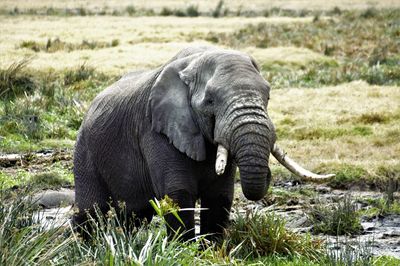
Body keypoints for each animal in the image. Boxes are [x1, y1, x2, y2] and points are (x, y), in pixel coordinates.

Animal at [72, 46, 334, 241]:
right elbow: (177, 194)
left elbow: (220, 196)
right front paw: (183, 250)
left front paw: (212, 252)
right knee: (90, 210)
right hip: (84, 148)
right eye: (210, 101)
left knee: (134, 214)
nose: (269, 174)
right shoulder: (155, 130)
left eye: (268, 96)